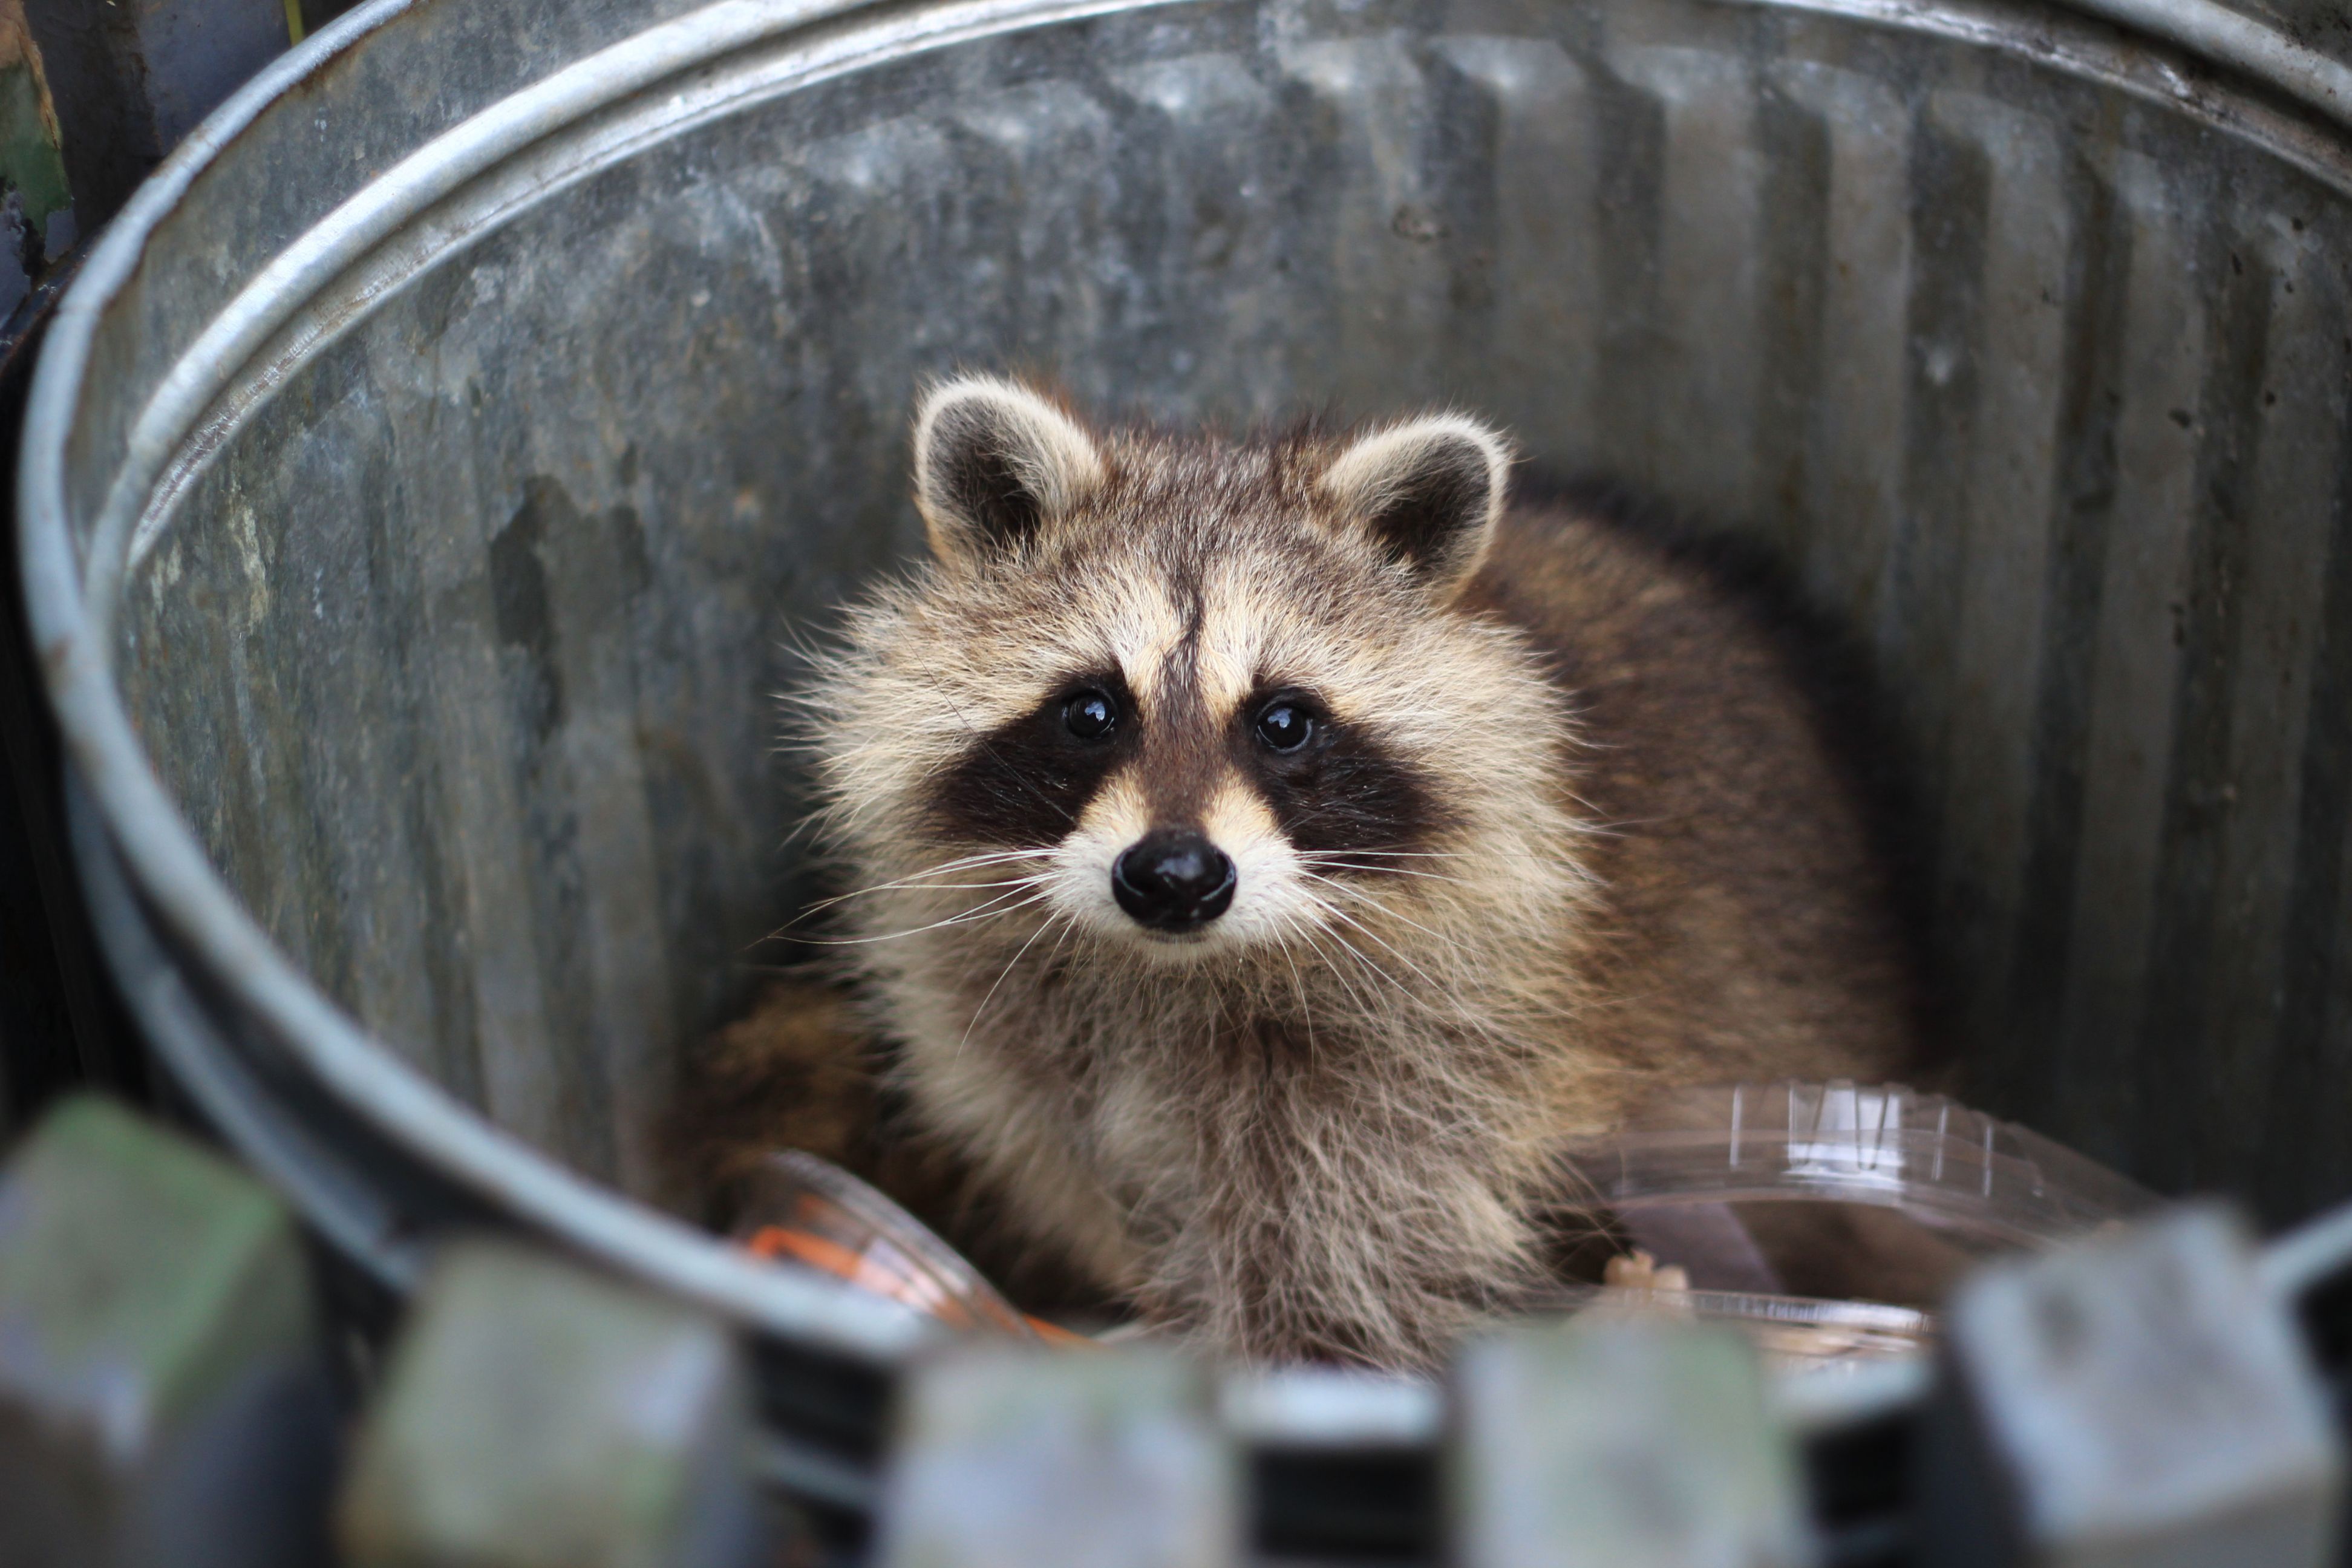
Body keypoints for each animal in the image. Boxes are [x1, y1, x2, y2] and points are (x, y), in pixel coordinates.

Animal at [799, 373, 1919, 1363]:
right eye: (1089, 711)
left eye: (1284, 722)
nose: (1174, 876)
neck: (1172, 973)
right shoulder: (1015, 1039)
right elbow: (1076, 1166)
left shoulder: (1433, 1065)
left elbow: (1341, 1264)